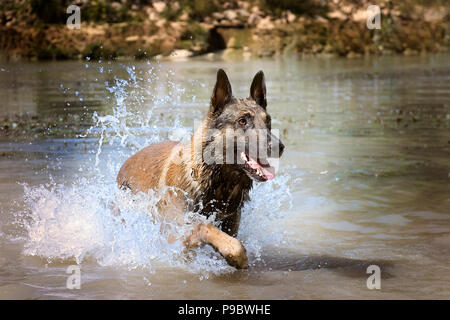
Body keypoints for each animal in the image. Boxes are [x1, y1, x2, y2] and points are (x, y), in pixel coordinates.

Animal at [116, 69, 284, 268]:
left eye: (268, 121)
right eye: (242, 121)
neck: (217, 182)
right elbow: (206, 227)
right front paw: (236, 255)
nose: (279, 147)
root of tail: (124, 165)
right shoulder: (175, 233)